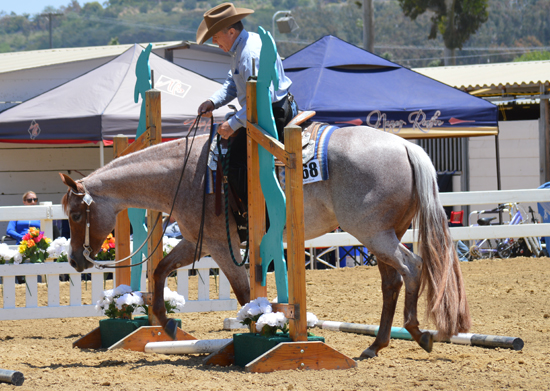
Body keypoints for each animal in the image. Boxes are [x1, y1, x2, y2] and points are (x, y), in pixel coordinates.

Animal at [61, 127, 474, 360]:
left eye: (77, 214)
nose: (77, 262)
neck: (184, 174)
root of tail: (408, 148)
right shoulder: (197, 242)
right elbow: (160, 271)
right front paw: (168, 325)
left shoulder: (221, 246)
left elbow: (245, 294)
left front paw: (259, 327)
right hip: (385, 234)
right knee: (391, 281)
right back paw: (376, 345)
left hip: (373, 233)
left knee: (412, 269)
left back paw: (418, 334)